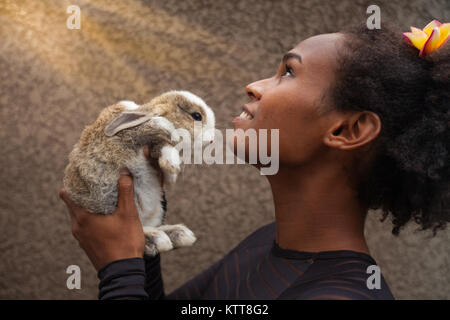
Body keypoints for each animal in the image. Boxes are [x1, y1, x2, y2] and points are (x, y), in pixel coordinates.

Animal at [63, 90, 216, 255]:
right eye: (197, 116)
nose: (212, 140)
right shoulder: (122, 139)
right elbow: (147, 130)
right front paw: (172, 154)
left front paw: (171, 172)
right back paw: (157, 238)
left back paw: (179, 234)